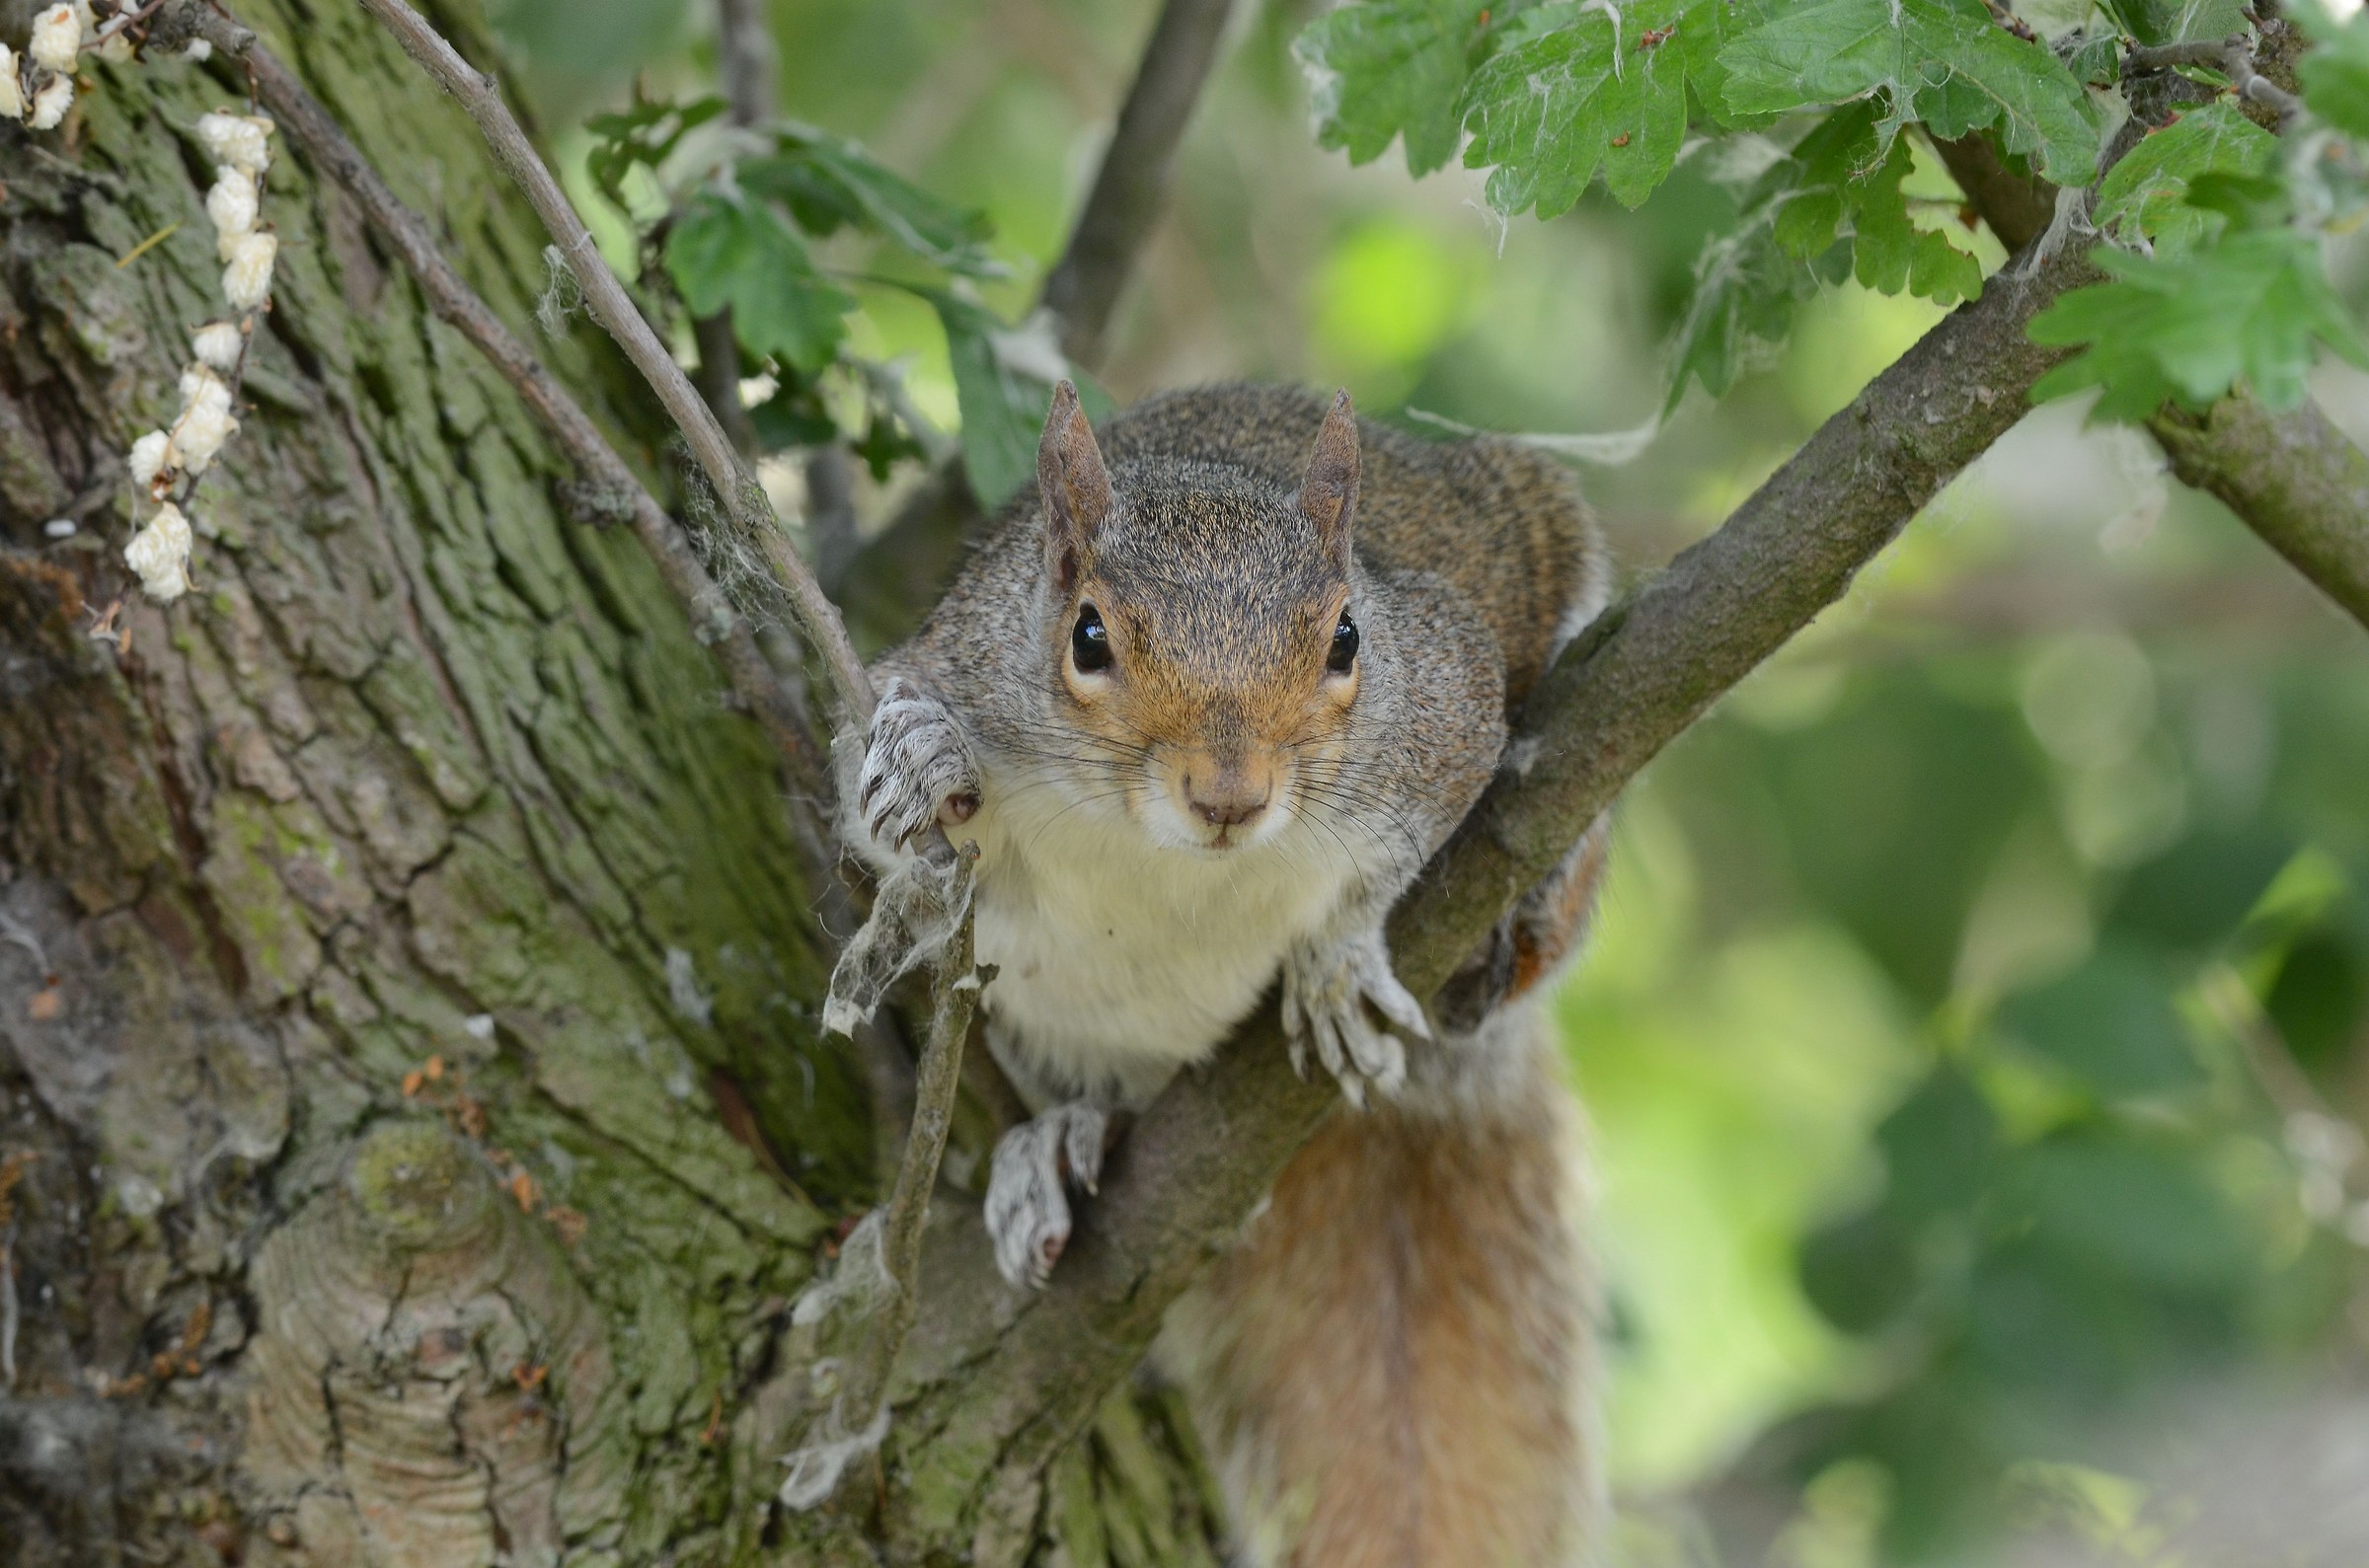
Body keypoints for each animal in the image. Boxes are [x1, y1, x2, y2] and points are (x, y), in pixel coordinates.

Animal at [843, 380, 1611, 1566]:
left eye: (1347, 637)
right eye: (1088, 635)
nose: (1229, 795)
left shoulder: (1444, 705)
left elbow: (1407, 833)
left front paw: (1336, 963)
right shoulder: (944, 665)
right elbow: (873, 807)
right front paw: (918, 756)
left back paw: (1508, 935)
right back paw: (1065, 1138)